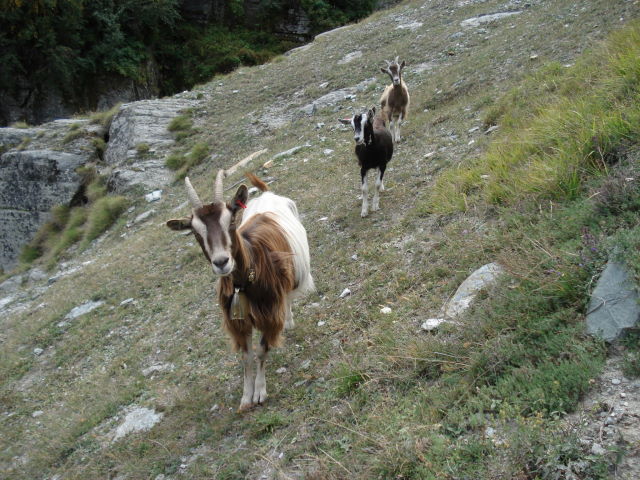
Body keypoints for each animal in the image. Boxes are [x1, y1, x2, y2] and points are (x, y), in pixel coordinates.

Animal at [166, 170, 314, 411]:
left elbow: (261, 351)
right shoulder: (238, 322)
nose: (221, 262)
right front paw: (246, 397)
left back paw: (289, 321)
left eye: (231, 221)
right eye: (196, 232)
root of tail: (267, 194)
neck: (244, 283)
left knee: (288, 297)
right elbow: (246, 357)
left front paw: (260, 392)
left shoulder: (269, 312)